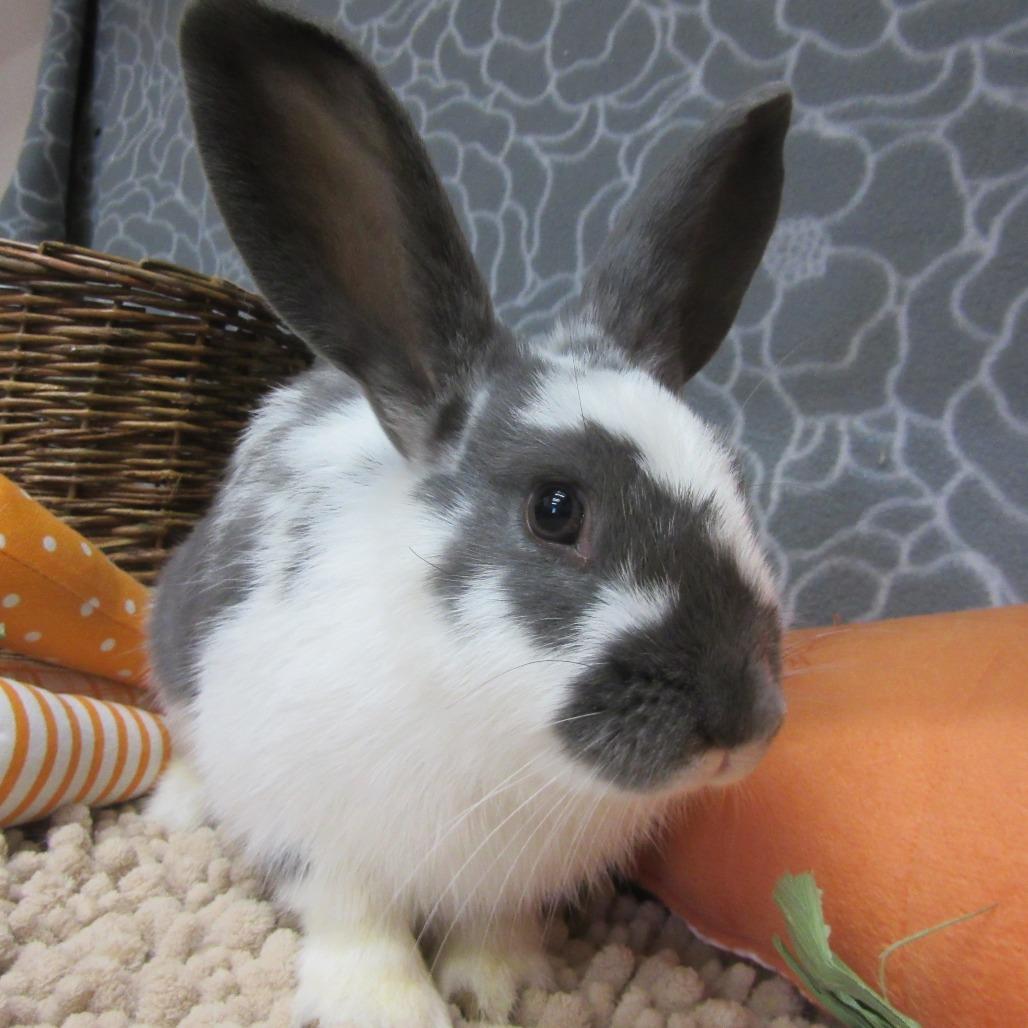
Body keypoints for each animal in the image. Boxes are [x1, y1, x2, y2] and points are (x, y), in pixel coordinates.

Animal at [146, 1, 791, 1024]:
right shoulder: (312, 828)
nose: (742, 720)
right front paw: (391, 1007)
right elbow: (356, 922)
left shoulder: (510, 881)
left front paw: (497, 987)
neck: (486, 723)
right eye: (556, 509)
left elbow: (494, 925)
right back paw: (173, 812)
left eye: (736, 477)